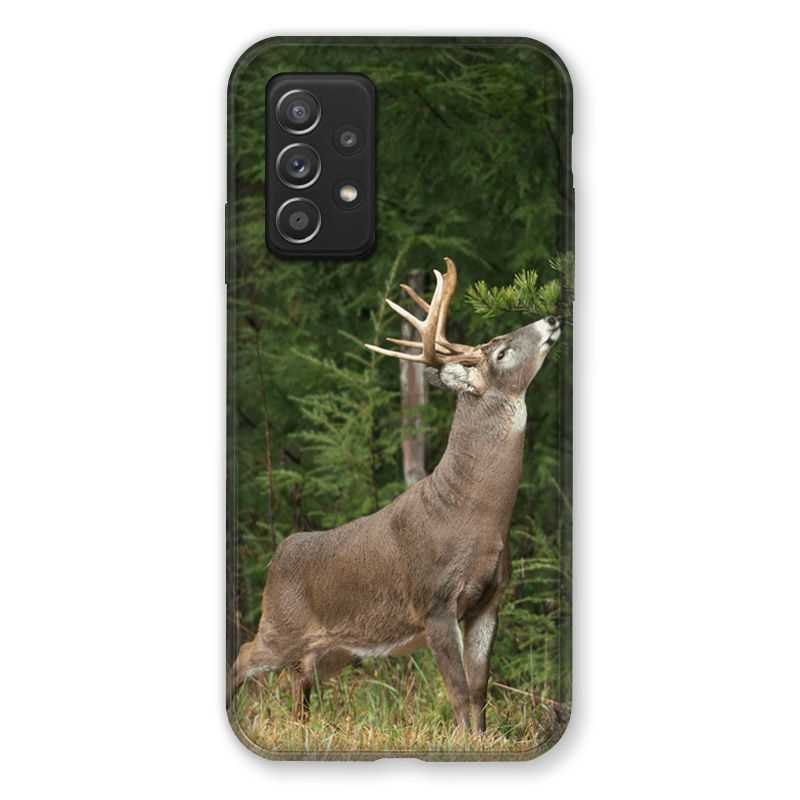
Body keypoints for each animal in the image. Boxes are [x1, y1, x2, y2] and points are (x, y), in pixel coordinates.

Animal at [230, 257, 561, 732]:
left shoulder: (490, 599)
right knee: (243, 655)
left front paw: (482, 739)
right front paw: (463, 740)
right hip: (281, 624)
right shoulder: (435, 601)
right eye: (501, 352)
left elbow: (480, 690)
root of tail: (278, 555)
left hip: (333, 649)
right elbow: (458, 691)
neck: (474, 514)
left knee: (299, 682)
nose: (552, 318)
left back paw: (303, 727)